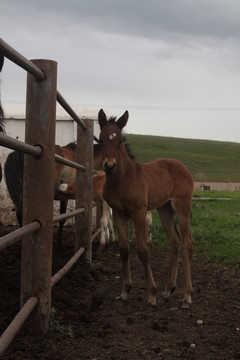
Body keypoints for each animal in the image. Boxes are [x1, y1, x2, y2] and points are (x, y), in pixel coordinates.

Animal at [97, 109, 193, 310]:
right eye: (100, 139)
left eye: (119, 140)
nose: (109, 166)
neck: (123, 179)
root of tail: (182, 166)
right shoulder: (119, 214)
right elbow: (124, 248)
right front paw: (125, 292)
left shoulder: (139, 212)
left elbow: (142, 250)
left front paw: (151, 295)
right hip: (164, 209)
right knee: (174, 242)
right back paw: (168, 290)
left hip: (182, 206)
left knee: (187, 243)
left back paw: (186, 297)